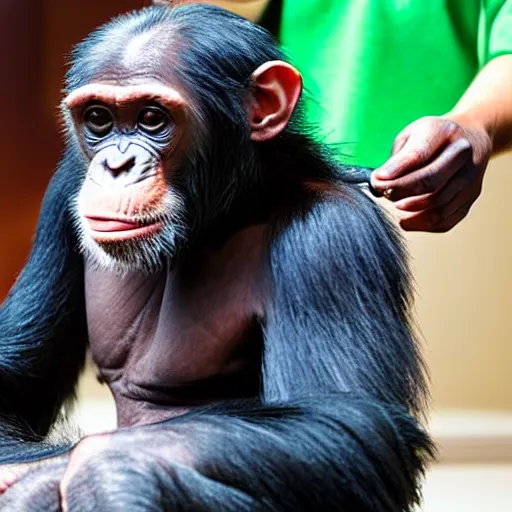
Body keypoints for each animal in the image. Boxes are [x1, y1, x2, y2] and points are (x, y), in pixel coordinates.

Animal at [0, 5, 434, 512]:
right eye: (99, 119)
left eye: (152, 118)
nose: (116, 166)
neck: (222, 213)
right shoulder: (62, 193)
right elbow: (14, 378)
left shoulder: (333, 239)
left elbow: (354, 421)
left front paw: (101, 472)